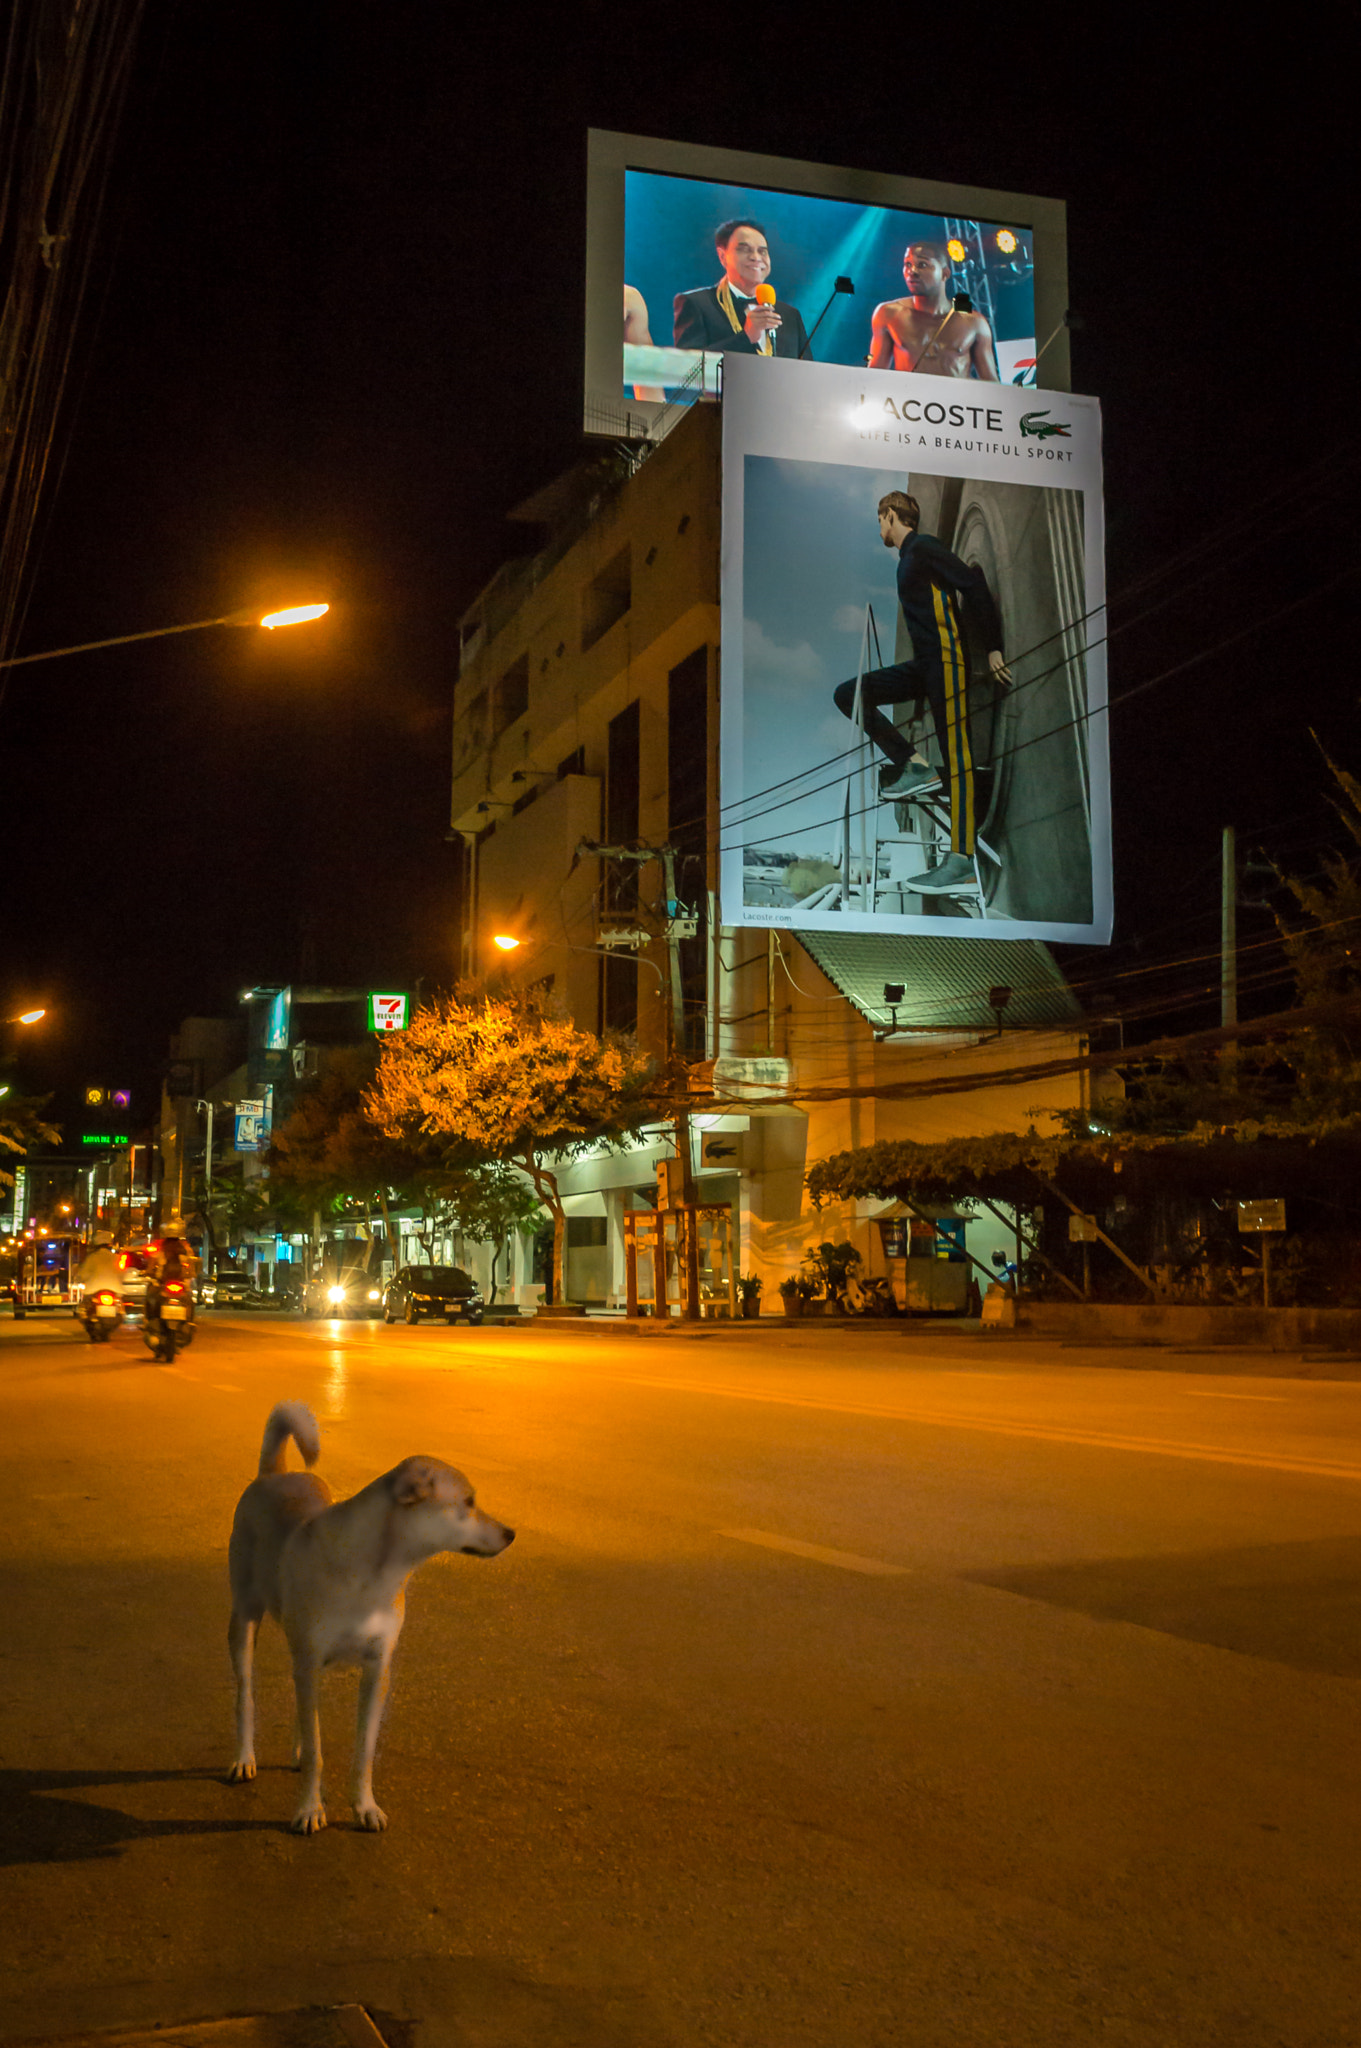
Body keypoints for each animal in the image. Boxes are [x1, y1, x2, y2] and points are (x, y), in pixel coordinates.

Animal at [228, 1400, 515, 1835]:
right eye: (468, 1502)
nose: (512, 1534)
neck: (374, 1573)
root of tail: (273, 1474)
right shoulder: (310, 1661)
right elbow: (317, 1751)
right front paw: (310, 1808)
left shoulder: (377, 1669)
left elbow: (362, 1750)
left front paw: (364, 1806)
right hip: (244, 1623)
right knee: (247, 1697)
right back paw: (245, 1757)